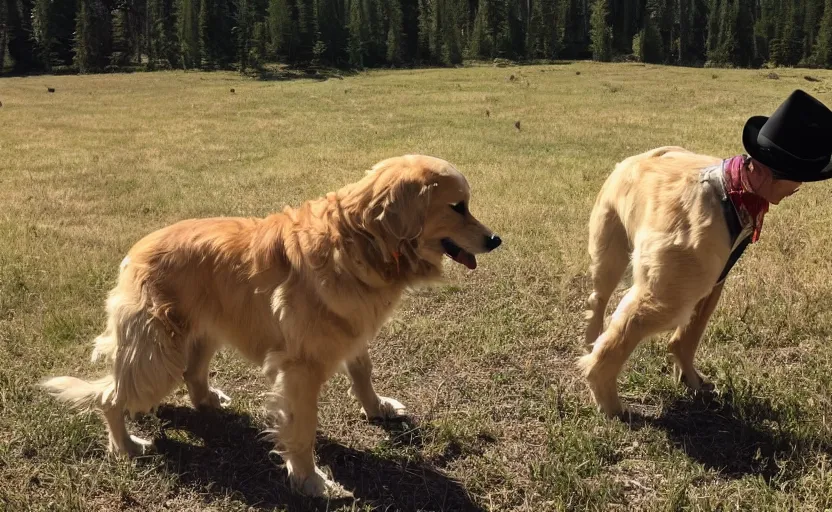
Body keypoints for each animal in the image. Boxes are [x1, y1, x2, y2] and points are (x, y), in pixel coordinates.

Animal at [580, 89, 832, 416]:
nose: (793, 188)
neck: (734, 186)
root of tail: (630, 164)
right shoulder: (692, 278)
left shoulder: (715, 277)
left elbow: (687, 338)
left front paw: (689, 378)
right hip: (660, 291)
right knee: (615, 335)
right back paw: (609, 401)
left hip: (613, 249)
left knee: (597, 300)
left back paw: (591, 340)